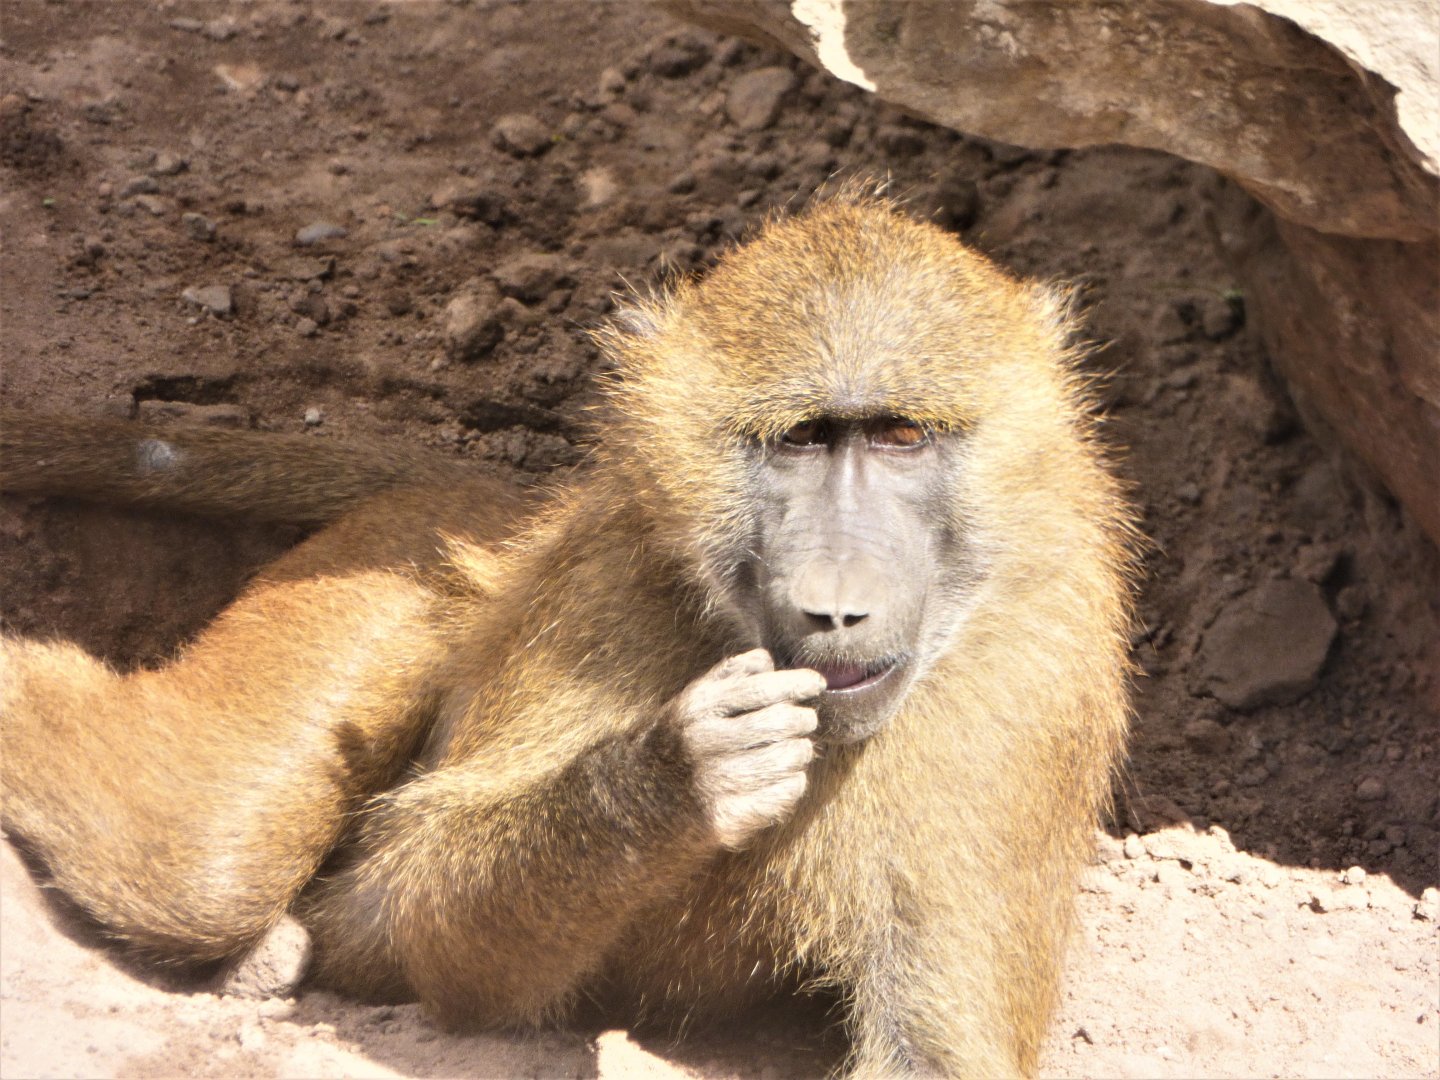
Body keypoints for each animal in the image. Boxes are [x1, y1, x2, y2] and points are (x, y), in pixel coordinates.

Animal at [0, 191, 1136, 1077]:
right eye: (802, 441)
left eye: (901, 437)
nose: (836, 607)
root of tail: (492, 509)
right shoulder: (606, 587)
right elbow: (424, 907)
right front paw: (675, 776)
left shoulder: (1033, 675)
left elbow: (932, 1053)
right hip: (394, 565)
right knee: (200, 866)